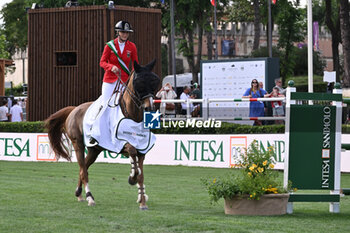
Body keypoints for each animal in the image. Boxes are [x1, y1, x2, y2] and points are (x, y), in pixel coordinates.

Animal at [43, 60, 160, 209]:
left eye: (154, 82)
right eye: (138, 83)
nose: (149, 107)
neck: (132, 116)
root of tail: (74, 109)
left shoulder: (142, 150)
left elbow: (141, 174)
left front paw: (142, 200)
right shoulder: (120, 144)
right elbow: (133, 155)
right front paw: (132, 178)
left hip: (94, 150)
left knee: (83, 168)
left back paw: (79, 194)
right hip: (78, 145)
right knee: (83, 170)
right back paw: (89, 197)